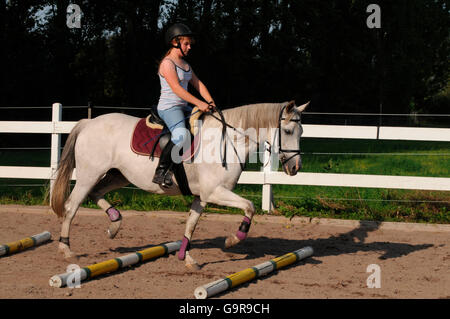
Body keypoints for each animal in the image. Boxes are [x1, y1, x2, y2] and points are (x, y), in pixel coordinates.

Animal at [50, 100, 310, 270]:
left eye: (301, 132)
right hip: (89, 174)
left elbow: (191, 224)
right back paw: (66, 250)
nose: (295, 167)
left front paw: (186, 258)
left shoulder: (202, 196)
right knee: (72, 206)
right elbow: (250, 207)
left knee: (96, 194)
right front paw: (233, 239)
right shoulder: (215, 192)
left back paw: (114, 225)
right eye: (288, 131)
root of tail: (89, 122)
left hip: (117, 175)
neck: (226, 141)